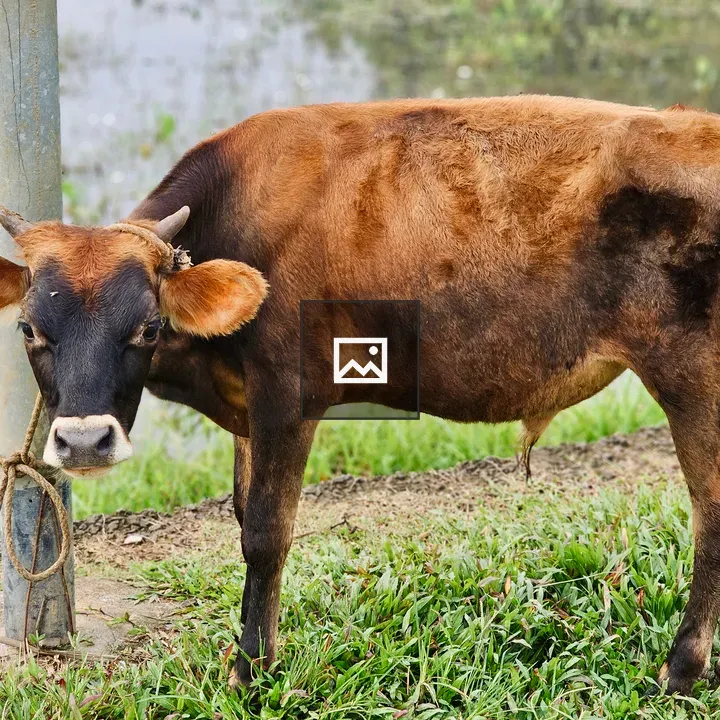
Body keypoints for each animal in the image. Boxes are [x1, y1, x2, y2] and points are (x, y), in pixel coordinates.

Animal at [0, 95, 719, 694]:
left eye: (147, 327)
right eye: (29, 328)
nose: (84, 441)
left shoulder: (286, 393)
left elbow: (265, 532)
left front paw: (251, 672)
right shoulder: (246, 410)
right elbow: (242, 509)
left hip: (691, 378)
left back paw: (680, 670)